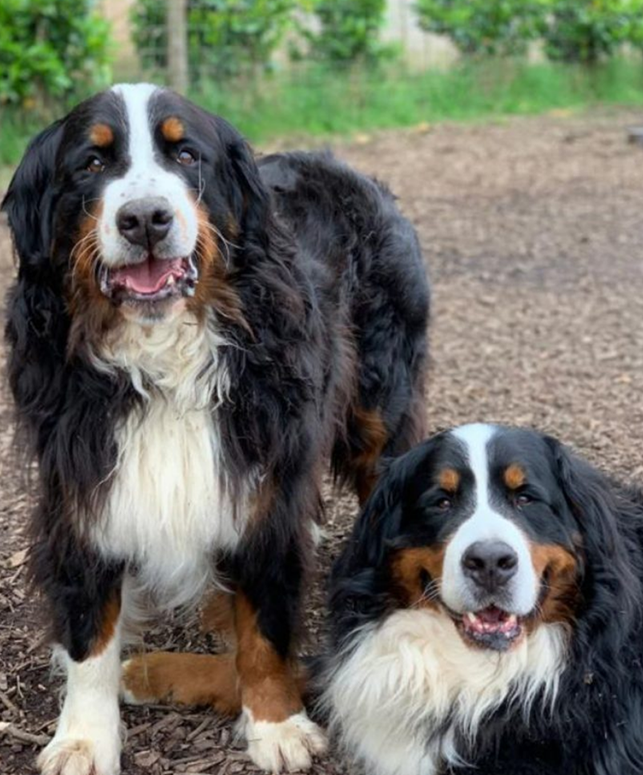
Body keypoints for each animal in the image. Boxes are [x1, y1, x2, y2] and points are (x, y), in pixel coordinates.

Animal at [3, 82, 432, 772]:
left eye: (186, 156)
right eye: (91, 164)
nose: (145, 218)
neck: (159, 363)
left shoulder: (262, 483)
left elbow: (264, 623)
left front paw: (277, 724)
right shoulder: (85, 484)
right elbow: (90, 631)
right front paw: (83, 736)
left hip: (380, 409)